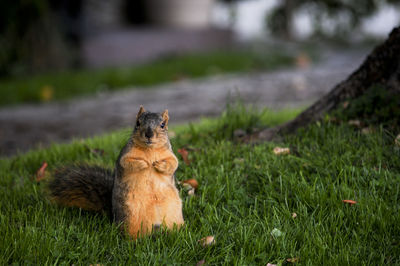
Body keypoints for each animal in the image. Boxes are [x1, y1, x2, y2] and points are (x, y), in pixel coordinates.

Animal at [48, 106, 184, 239]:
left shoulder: (170, 155)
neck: (149, 150)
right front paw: (144, 164)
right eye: (138, 123)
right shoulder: (125, 156)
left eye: (163, 125)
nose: (149, 134)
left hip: (173, 213)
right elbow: (128, 163)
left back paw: (175, 232)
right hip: (131, 218)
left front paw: (158, 164)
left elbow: (173, 164)